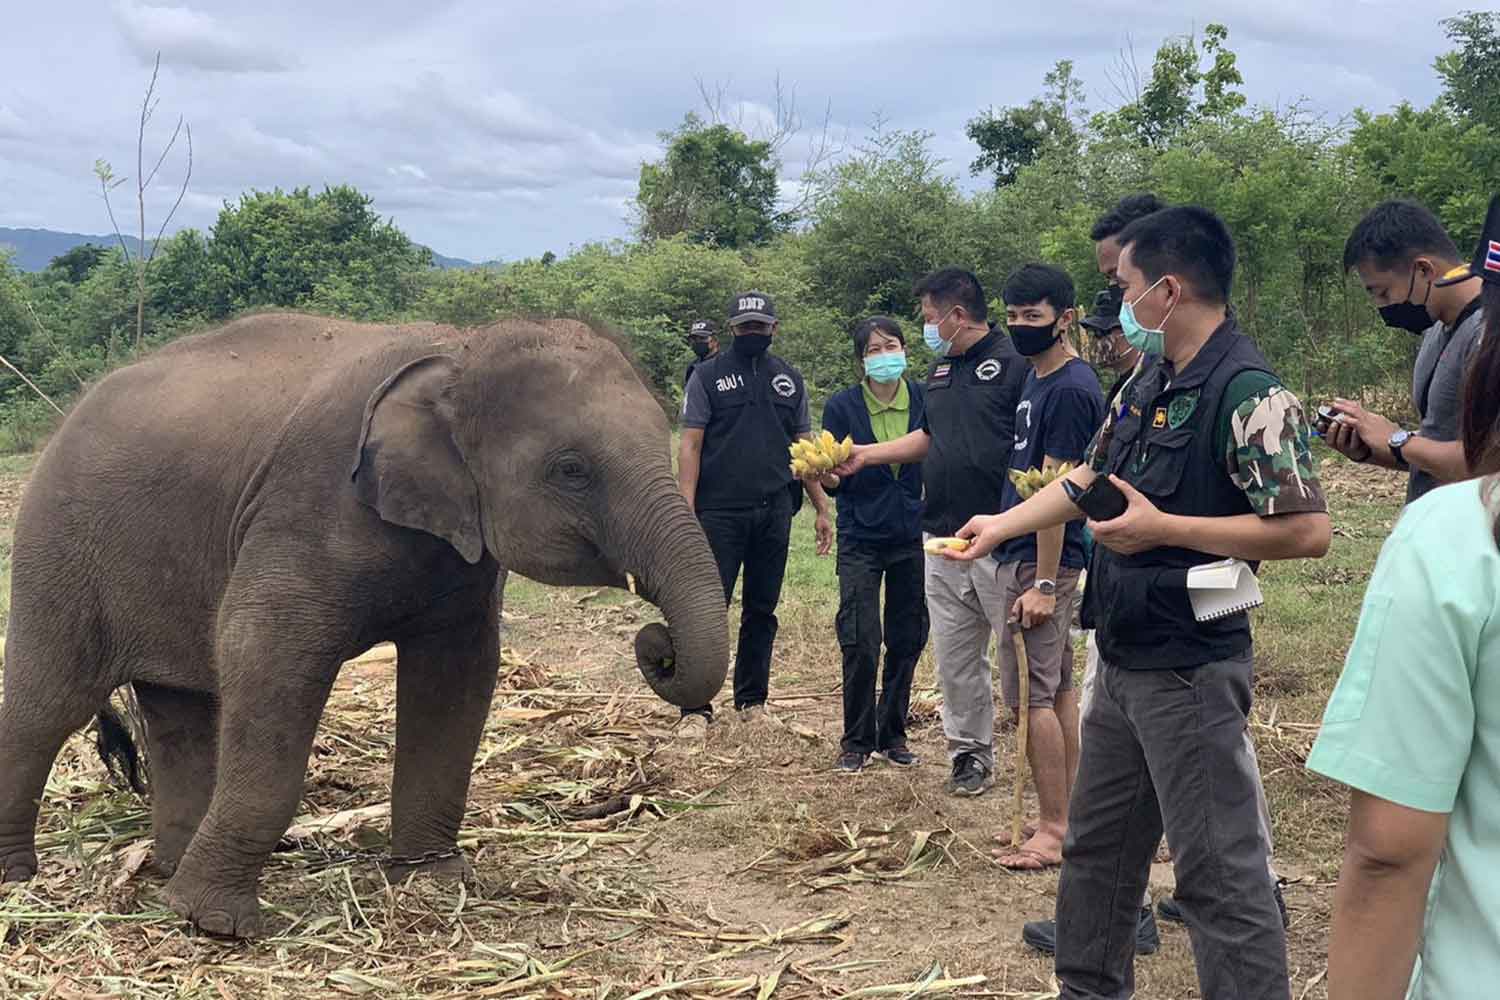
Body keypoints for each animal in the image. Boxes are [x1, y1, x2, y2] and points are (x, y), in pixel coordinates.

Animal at [0, 313, 726, 941]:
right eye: (571, 470)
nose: (657, 646)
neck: (460, 349)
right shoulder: (309, 502)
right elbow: (262, 651)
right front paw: (217, 926)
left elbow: (458, 675)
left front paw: (435, 882)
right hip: (56, 545)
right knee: (46, 707)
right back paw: (21, 879)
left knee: (180, 712)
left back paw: (170, 870)